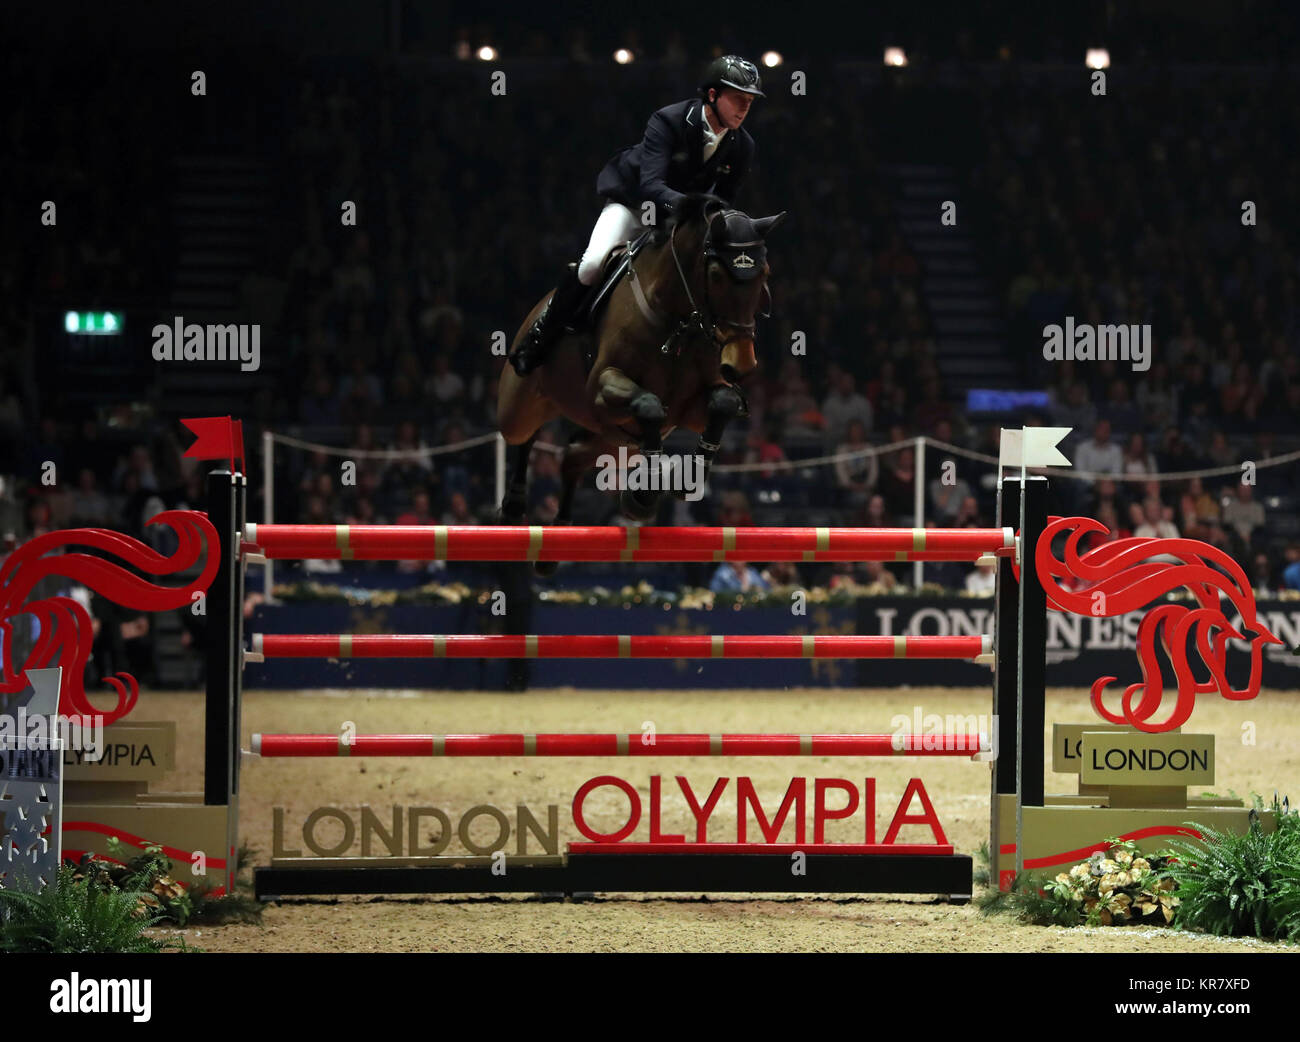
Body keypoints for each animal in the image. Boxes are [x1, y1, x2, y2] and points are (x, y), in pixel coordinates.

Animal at [493, 194, 780, 561]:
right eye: (716, 275)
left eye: (764, 273)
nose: (741, 363)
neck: (677, 322)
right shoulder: (602, 387)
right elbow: (649, 405)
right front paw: (644, 495)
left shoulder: (690, 410)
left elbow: (723, 402)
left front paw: (688, 480)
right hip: (521, 406)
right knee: (525, 435)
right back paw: (513, 507)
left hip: (614, 442)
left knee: (572, 459)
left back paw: (558, 539)